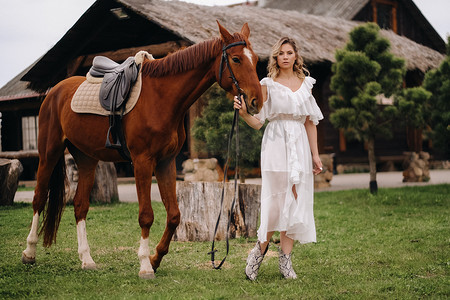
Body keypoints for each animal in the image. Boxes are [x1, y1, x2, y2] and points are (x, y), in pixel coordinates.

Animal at [22, 22, 264, 278]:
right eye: (236, 59)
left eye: (256, 59)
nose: (257, 101)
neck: (161, 98)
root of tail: (54, 91)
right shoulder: (142, 162)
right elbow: (146, 215)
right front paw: (145, 265)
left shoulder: (166, 162)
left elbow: (174, 215)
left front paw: (155, 258)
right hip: (49, 153)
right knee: (39, 199)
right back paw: (29, 253)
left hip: (86, 158)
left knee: (80, 206)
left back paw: (86, 259)